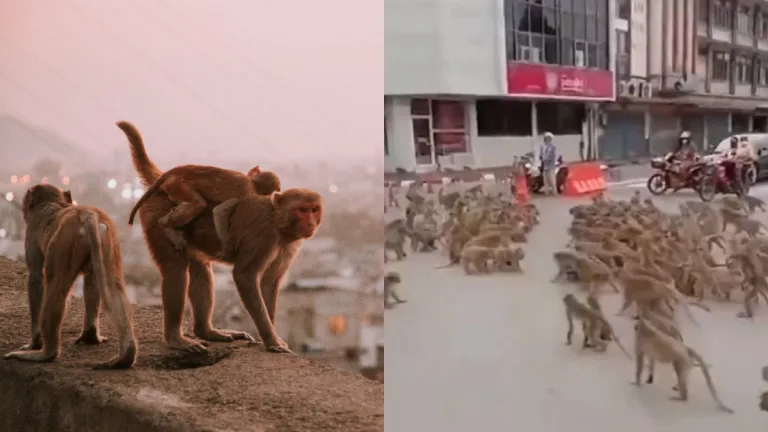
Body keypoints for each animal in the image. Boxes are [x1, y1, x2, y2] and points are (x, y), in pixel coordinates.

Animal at [4, 184, 138, 370]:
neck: (54, 204)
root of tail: (86, 214)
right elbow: (92, 281)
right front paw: (91, 336)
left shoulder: (32, 235)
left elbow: (36, 279)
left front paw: (35, 343)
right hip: (107, 239)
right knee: (114, 290)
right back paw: (121, 355)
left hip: (64, 244)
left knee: (56, 290)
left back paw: (46, 353)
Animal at [126, 161, 282, 250]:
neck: (252, 182)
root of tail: (175, 171)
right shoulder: (245, 193)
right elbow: (219, 211)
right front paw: (226, 246)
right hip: (178, 185)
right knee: (198, 204)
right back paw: (164, 225)